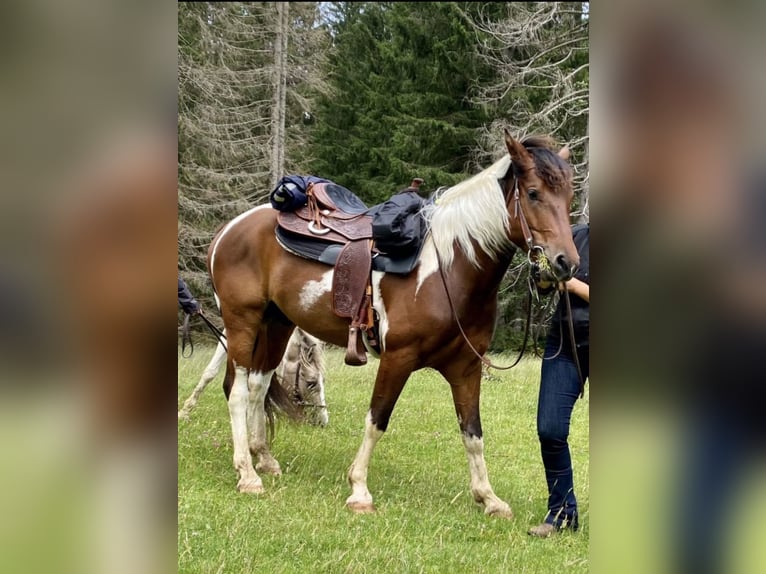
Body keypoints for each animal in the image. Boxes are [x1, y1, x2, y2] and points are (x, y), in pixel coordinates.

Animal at [208, 130, 579, 517]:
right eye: (533, 193)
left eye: (569, 195)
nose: (565, 263)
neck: (449, 269)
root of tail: (230, 229)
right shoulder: (397, 358)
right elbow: (377, 419)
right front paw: (359, 489)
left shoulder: (466, 367)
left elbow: (472, 432)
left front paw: (488, 497)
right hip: (242, 323)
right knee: (237, 392)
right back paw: (248, 474)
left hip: (276, 325)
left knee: (257, 386)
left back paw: (264, 459)